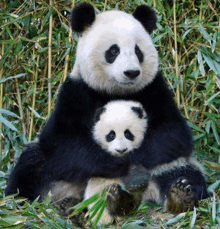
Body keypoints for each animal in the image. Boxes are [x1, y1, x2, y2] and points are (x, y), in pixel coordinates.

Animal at [5, 2, 210, 222]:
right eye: (113, 50)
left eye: (138, 51)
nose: (131, 73)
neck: (116, 91)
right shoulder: (76, 92)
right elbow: (63, 142)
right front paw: (117, 163)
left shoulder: (154, 89)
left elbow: (172, 135)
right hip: (51, 175)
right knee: (31, 165)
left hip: (171, 169)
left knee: (183, 171)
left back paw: (179, 195)